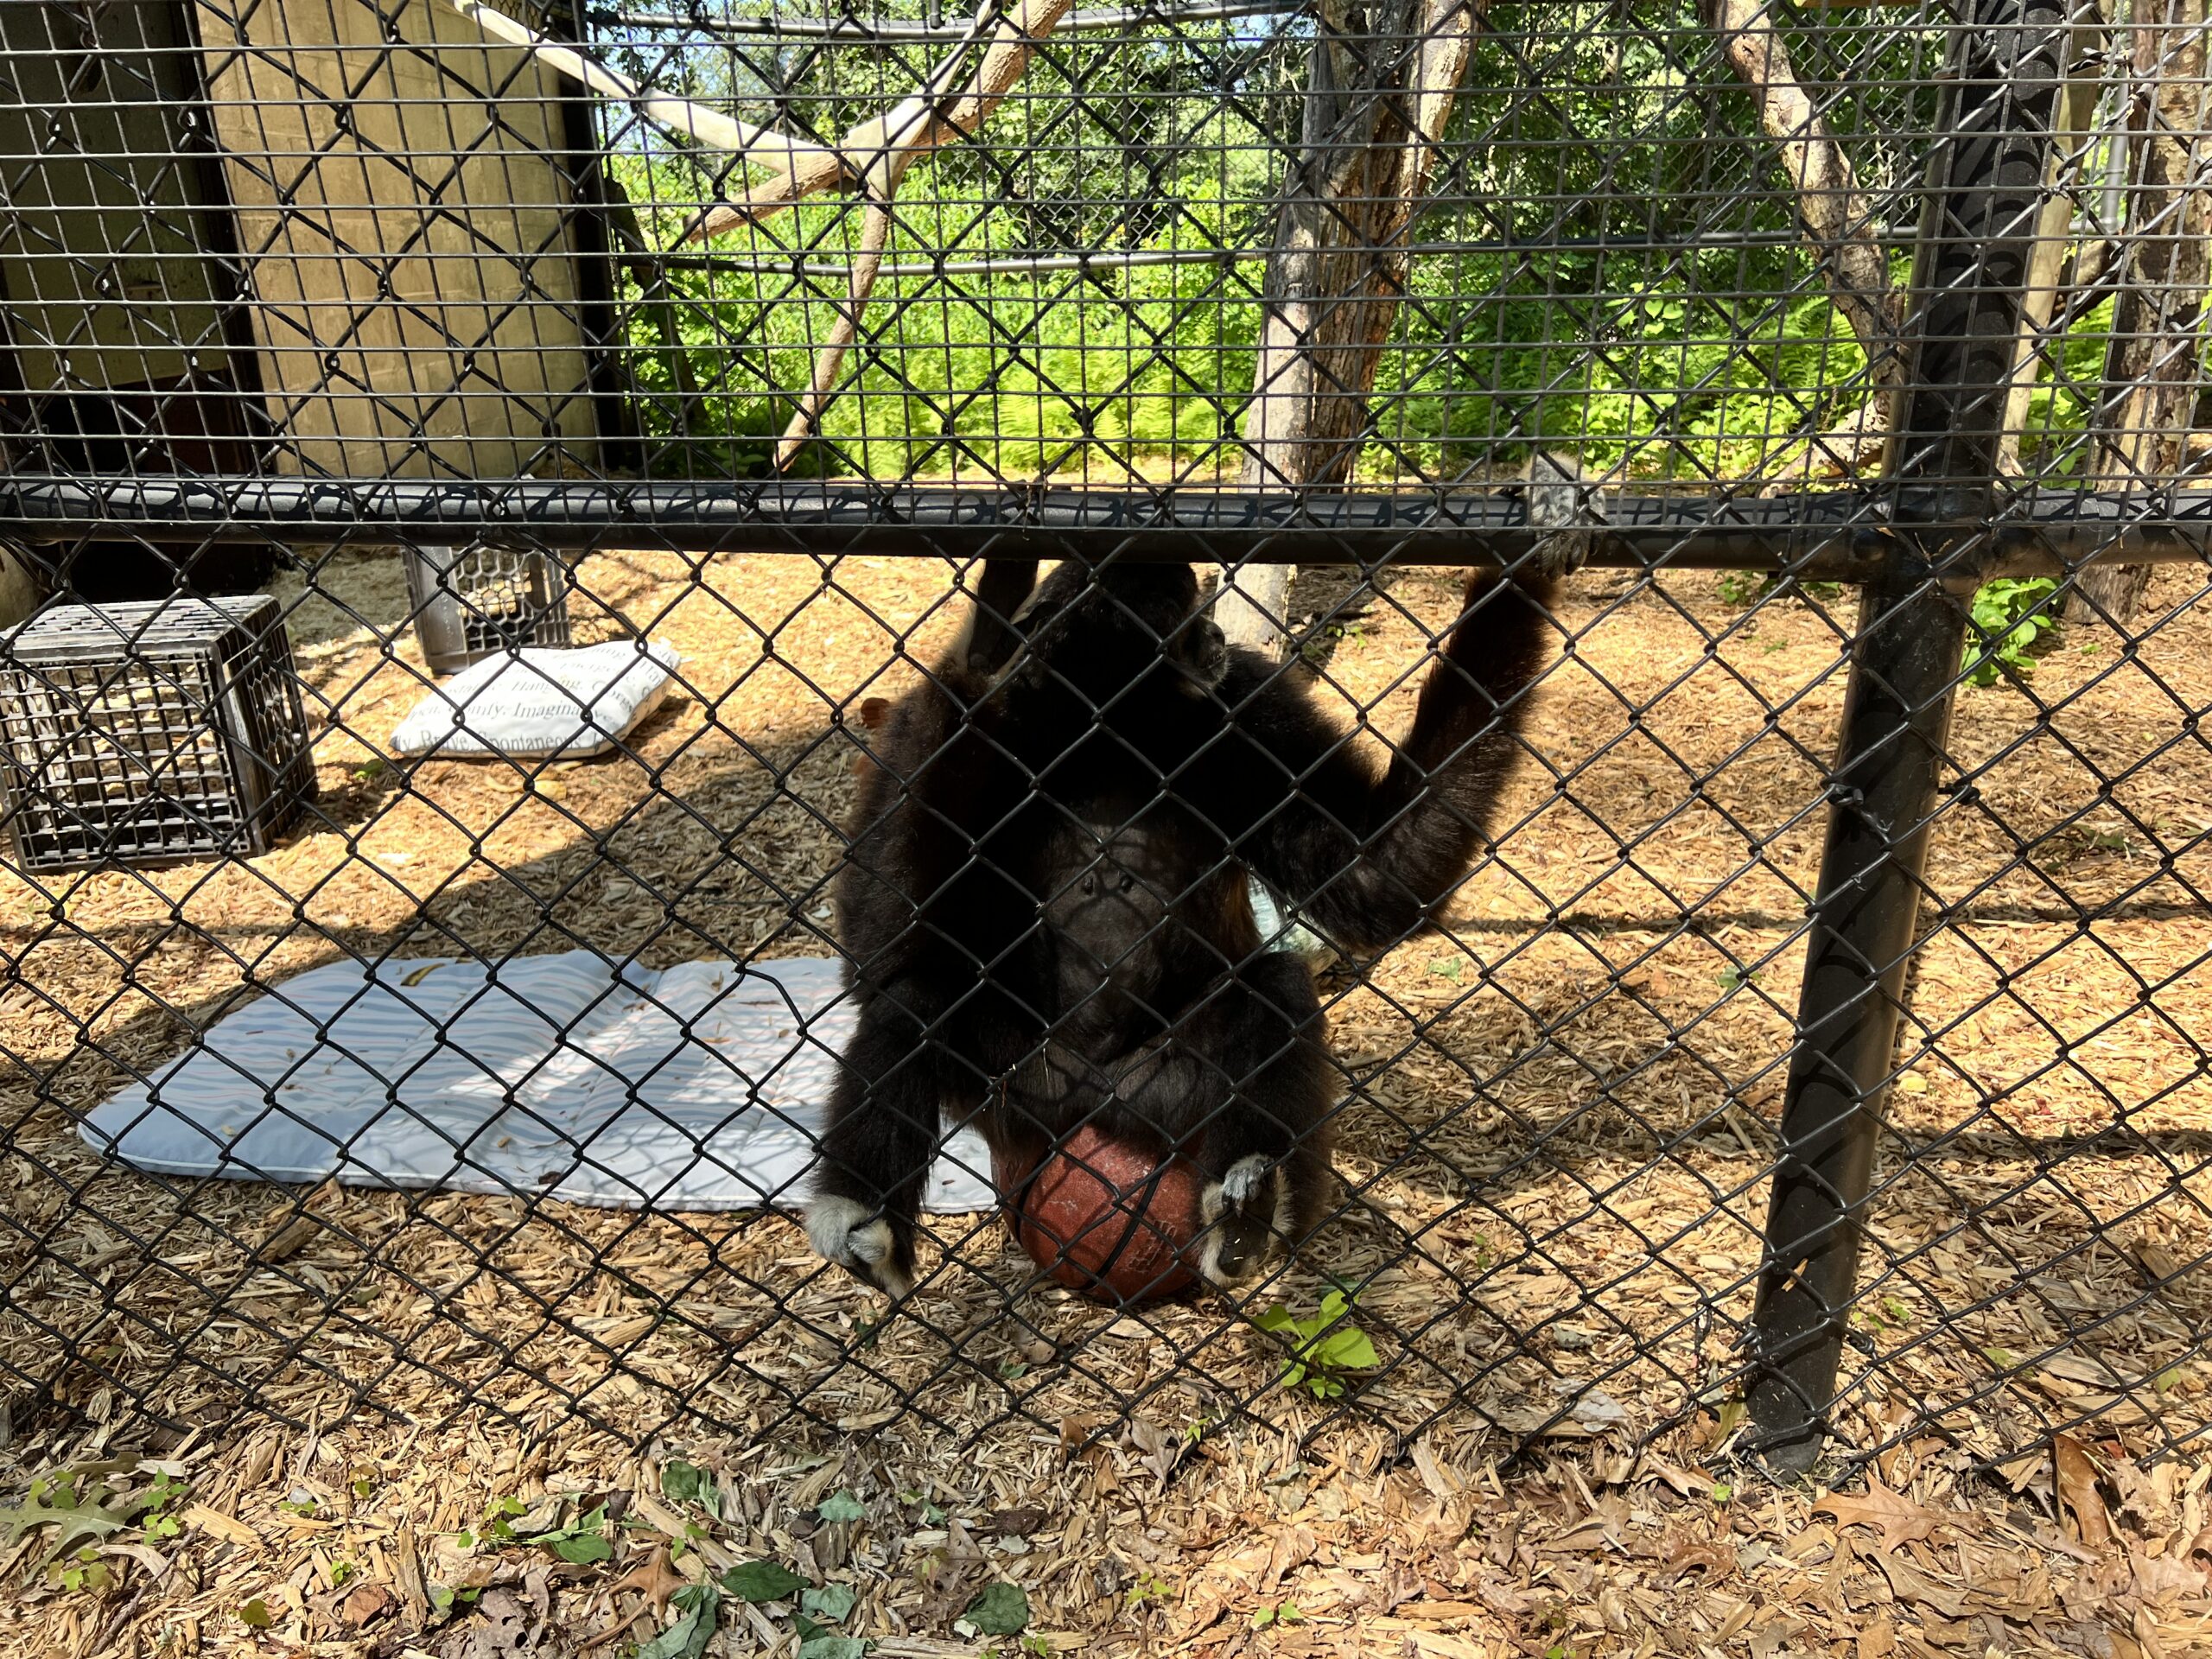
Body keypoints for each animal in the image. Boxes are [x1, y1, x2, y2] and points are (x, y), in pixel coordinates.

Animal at [809, 467, 1594, 1298]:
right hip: (1018, 1088)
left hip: (1163, 1094)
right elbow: (881, 946)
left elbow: (1373, 875)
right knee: (916, 1000)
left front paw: (1525, 559)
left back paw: (1249, 1213)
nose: (1216, 638)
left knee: (1272, 987)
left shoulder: (1247, 698)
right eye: (1191, 616)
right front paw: (982, 653)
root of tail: (1093, 1104)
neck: (1115, 725)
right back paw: (864, 1221)